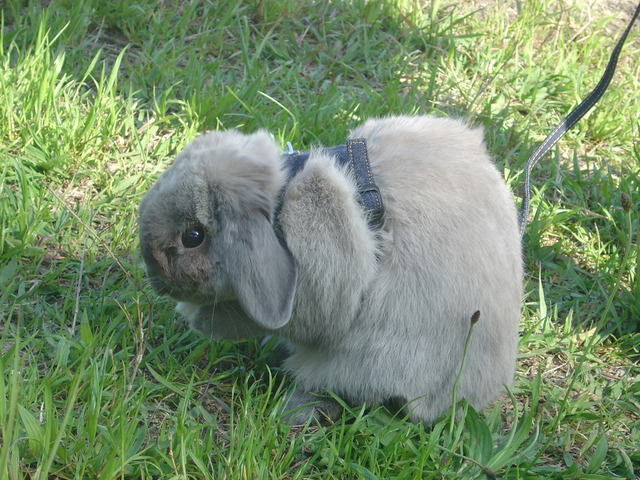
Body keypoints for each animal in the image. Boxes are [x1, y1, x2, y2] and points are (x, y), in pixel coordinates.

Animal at [138, 115, 523, 424]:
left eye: (193, 236)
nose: (157, 284)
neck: (281, 209)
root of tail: (482, 391)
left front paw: (196, 317)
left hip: (362, 363)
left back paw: (294, 413)